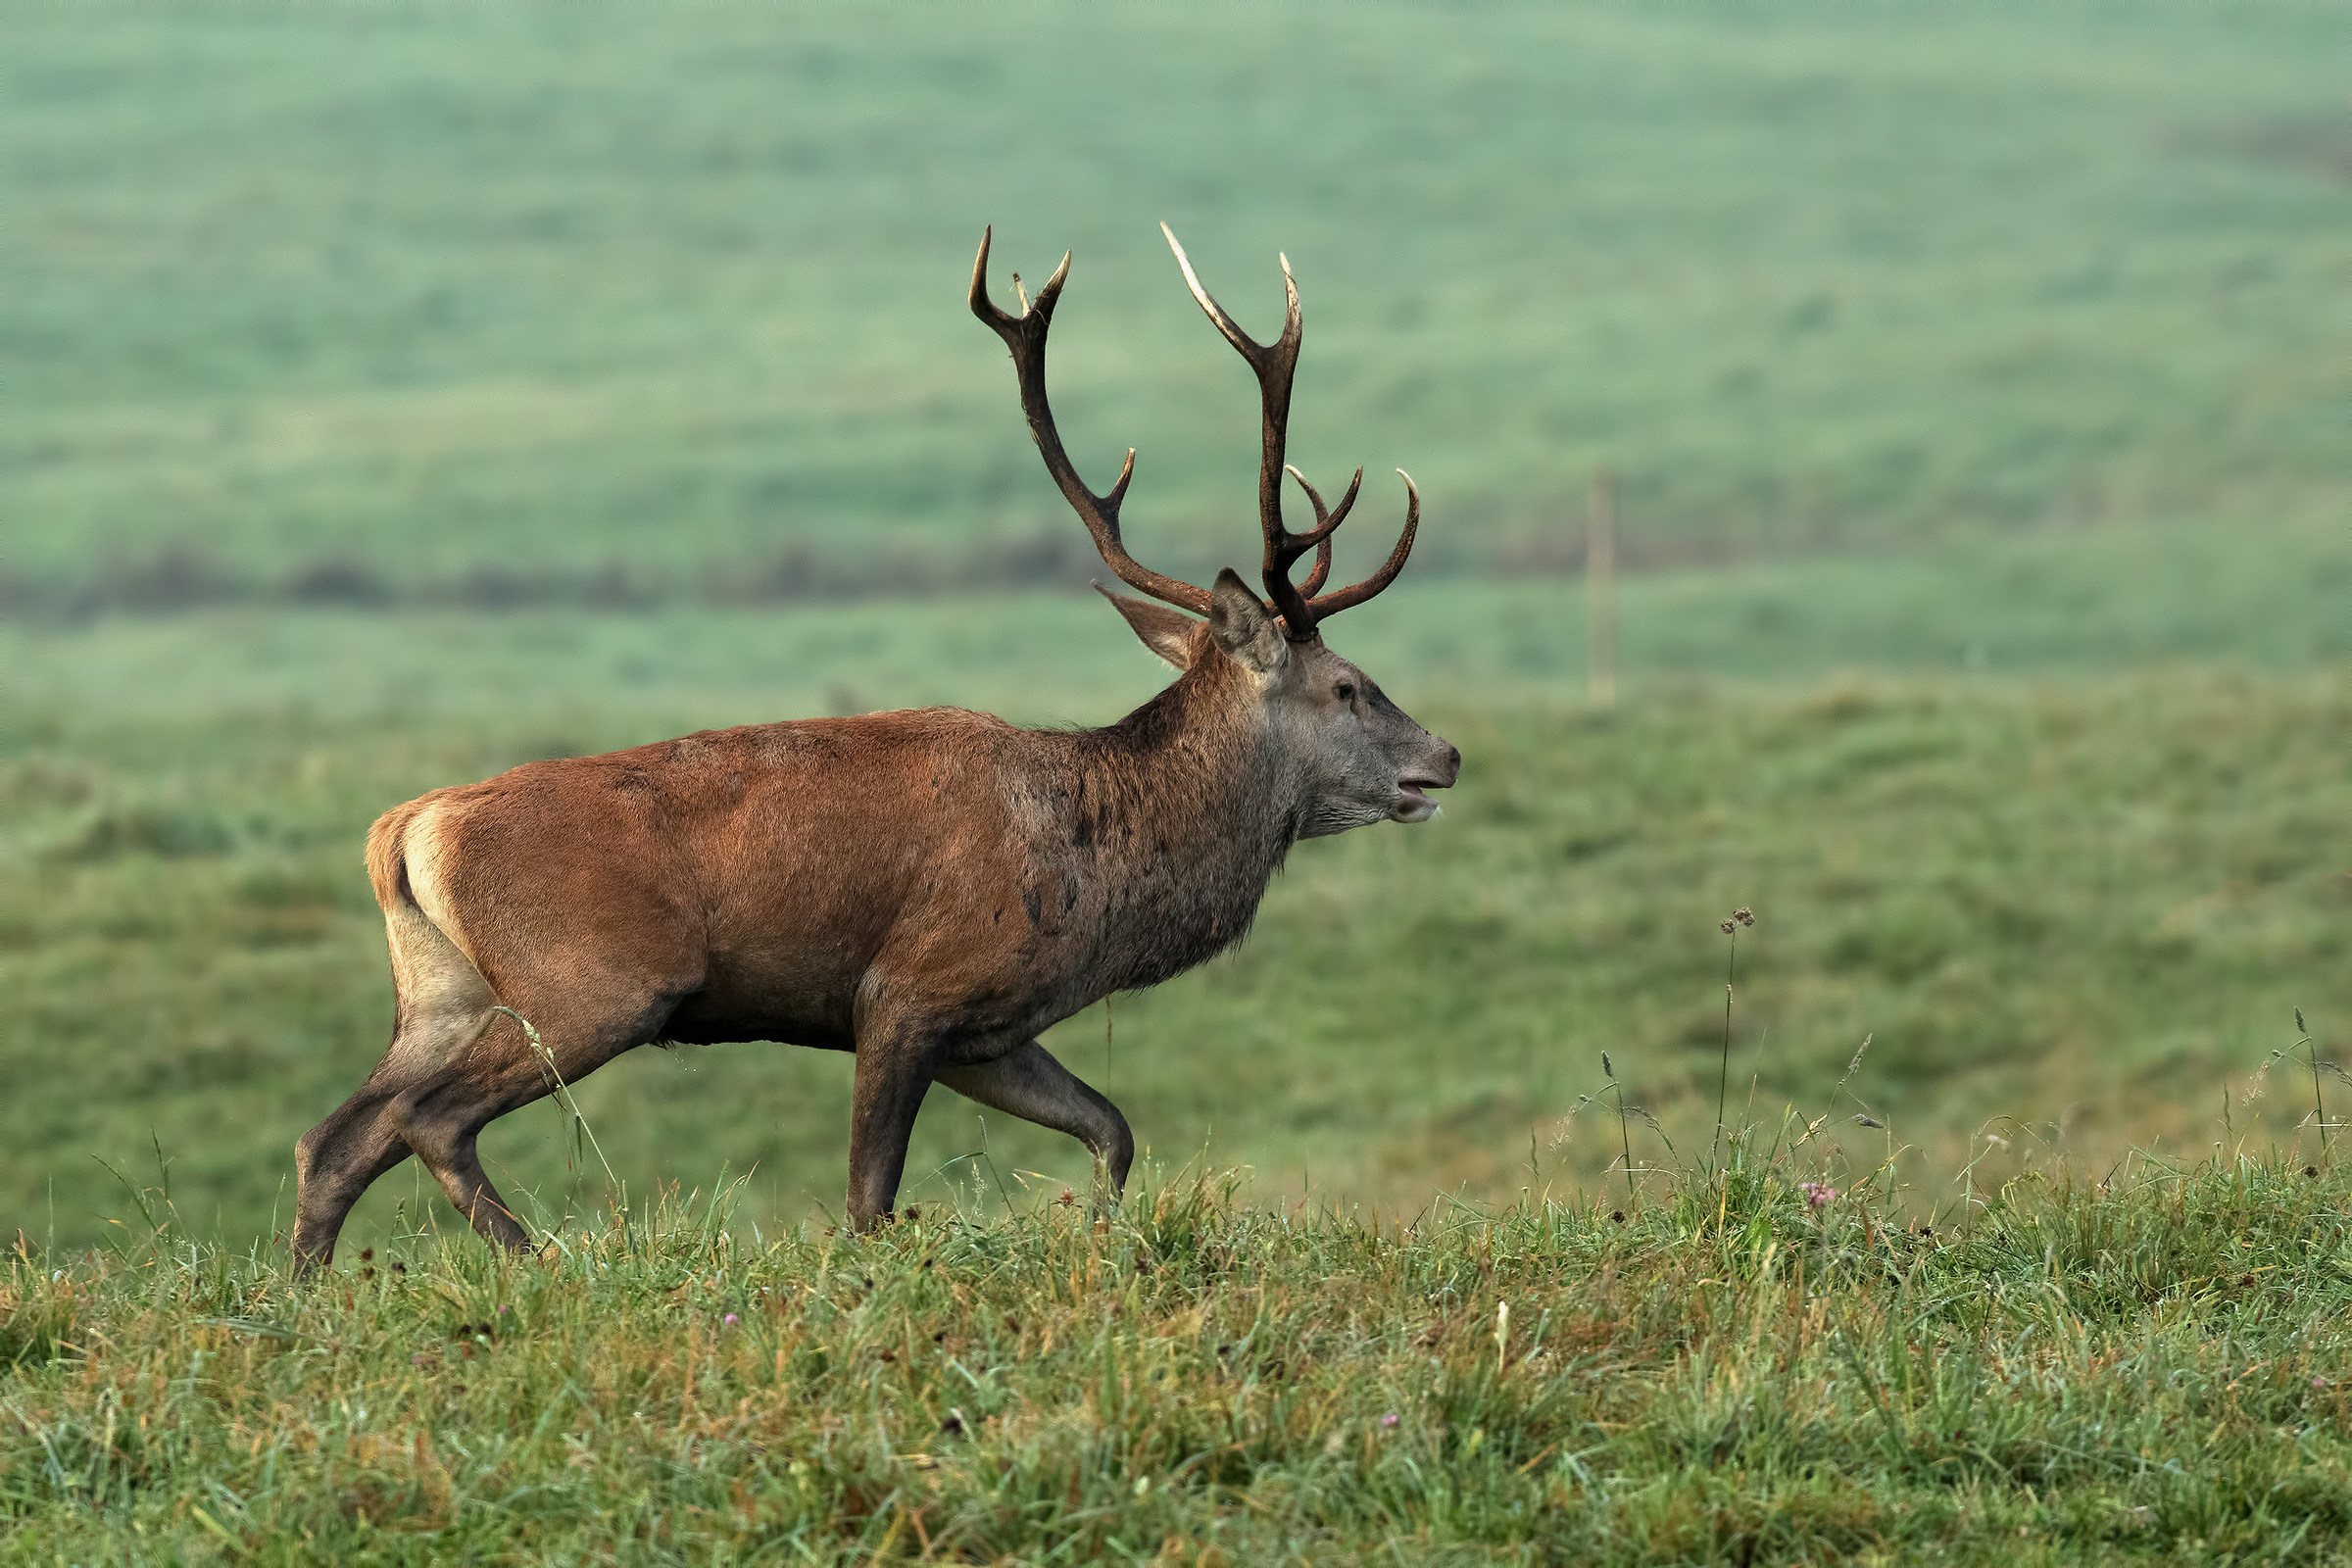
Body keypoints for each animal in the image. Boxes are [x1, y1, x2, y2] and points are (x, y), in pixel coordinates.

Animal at [289, 224, 1460, 1271]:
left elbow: (1114, 1129)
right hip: (590, 983)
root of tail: (407, 830)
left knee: (335, 1136)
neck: (1101, 877)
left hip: (439, 989)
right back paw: (538, 1259)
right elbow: (869, 1199)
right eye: (1349, 686)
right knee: (429, 1119)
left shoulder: (993, 1031)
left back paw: (311, 1291)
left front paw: (1102, 1237)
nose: (1445, 756)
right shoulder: (906, 989)